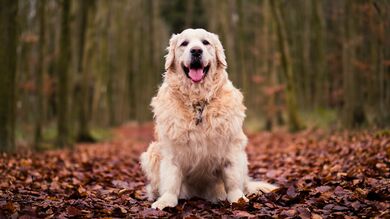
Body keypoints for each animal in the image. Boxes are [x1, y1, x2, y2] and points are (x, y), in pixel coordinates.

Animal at [140, 28, 278, 210]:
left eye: (205, 42)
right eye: (184, 43)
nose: (196, 51)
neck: (198, 102)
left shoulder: (232, 147)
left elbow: (232, 179)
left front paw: (237, 199)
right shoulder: (171, 150)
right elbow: (171, 179)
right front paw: (166, 201)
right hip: (152, 152)